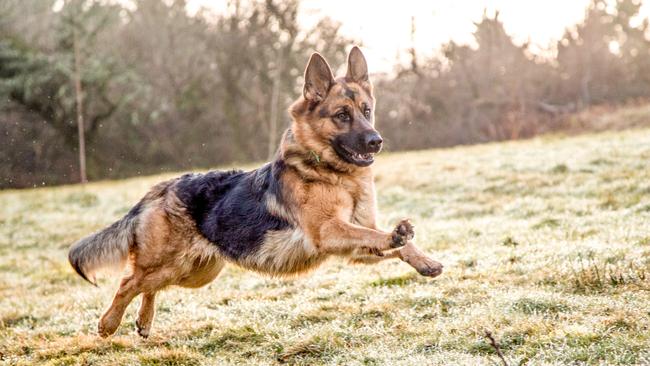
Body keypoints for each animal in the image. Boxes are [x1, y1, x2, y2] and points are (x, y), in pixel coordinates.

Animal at [68, 47, 442, 338]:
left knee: (148, 286)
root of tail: (162, 187)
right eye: (341, 115)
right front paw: (398, 236)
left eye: (367, 111)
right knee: (128, 282)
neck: (330, 172)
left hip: (194, 272)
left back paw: (144, 322)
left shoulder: (353, 246)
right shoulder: (330, 232)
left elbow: (394, 242)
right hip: (167, 263)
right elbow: (380, 235)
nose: (376, 141)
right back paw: (108, 324)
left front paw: (424, 260)